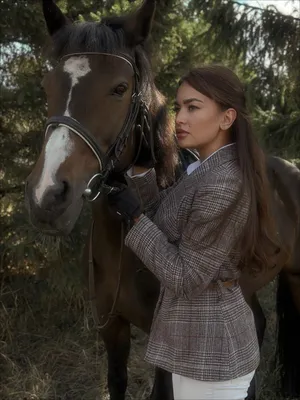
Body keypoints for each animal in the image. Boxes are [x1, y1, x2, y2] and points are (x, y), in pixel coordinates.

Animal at [24, 0, 300, 400]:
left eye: (120, 88)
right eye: (48, 86)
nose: (46, 196)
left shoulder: (163, 344)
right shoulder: (113, 330)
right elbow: (117, 382)